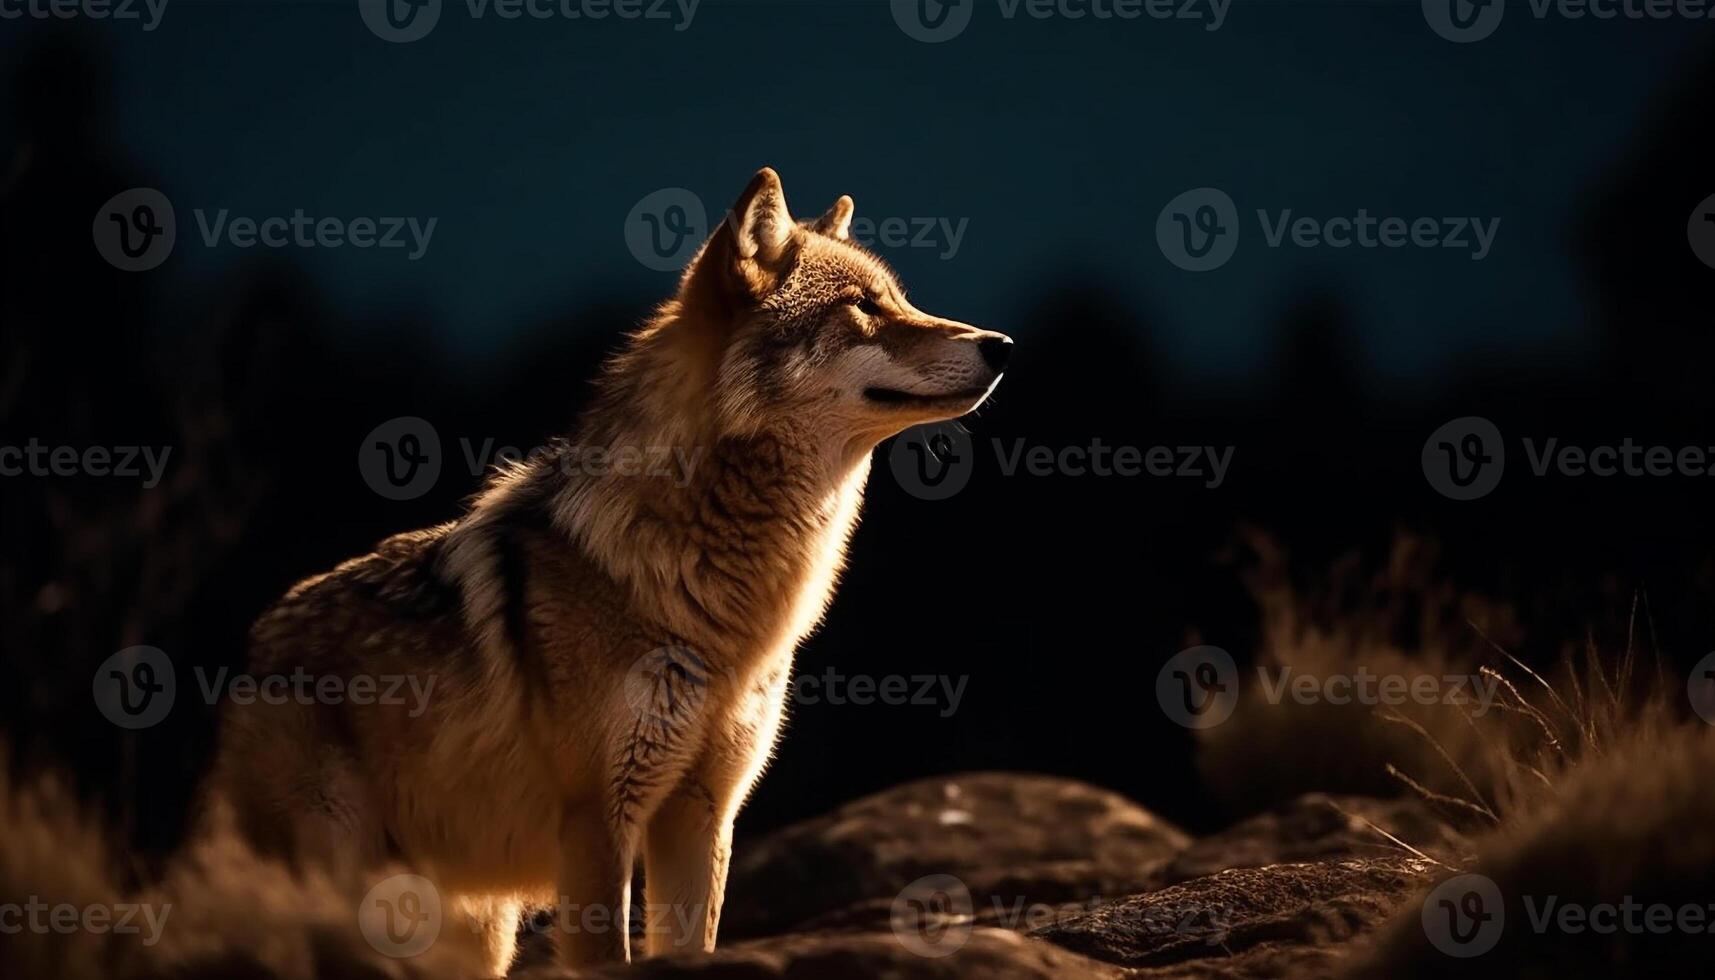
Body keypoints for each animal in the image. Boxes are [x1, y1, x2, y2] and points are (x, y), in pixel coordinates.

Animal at [200, 169, 1008, 974]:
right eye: (864, 308)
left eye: (899, 300)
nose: (1000, 344)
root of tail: (252, 650)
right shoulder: (597, 819)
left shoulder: (702, 816)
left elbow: (690, 944)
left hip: (475, 931)